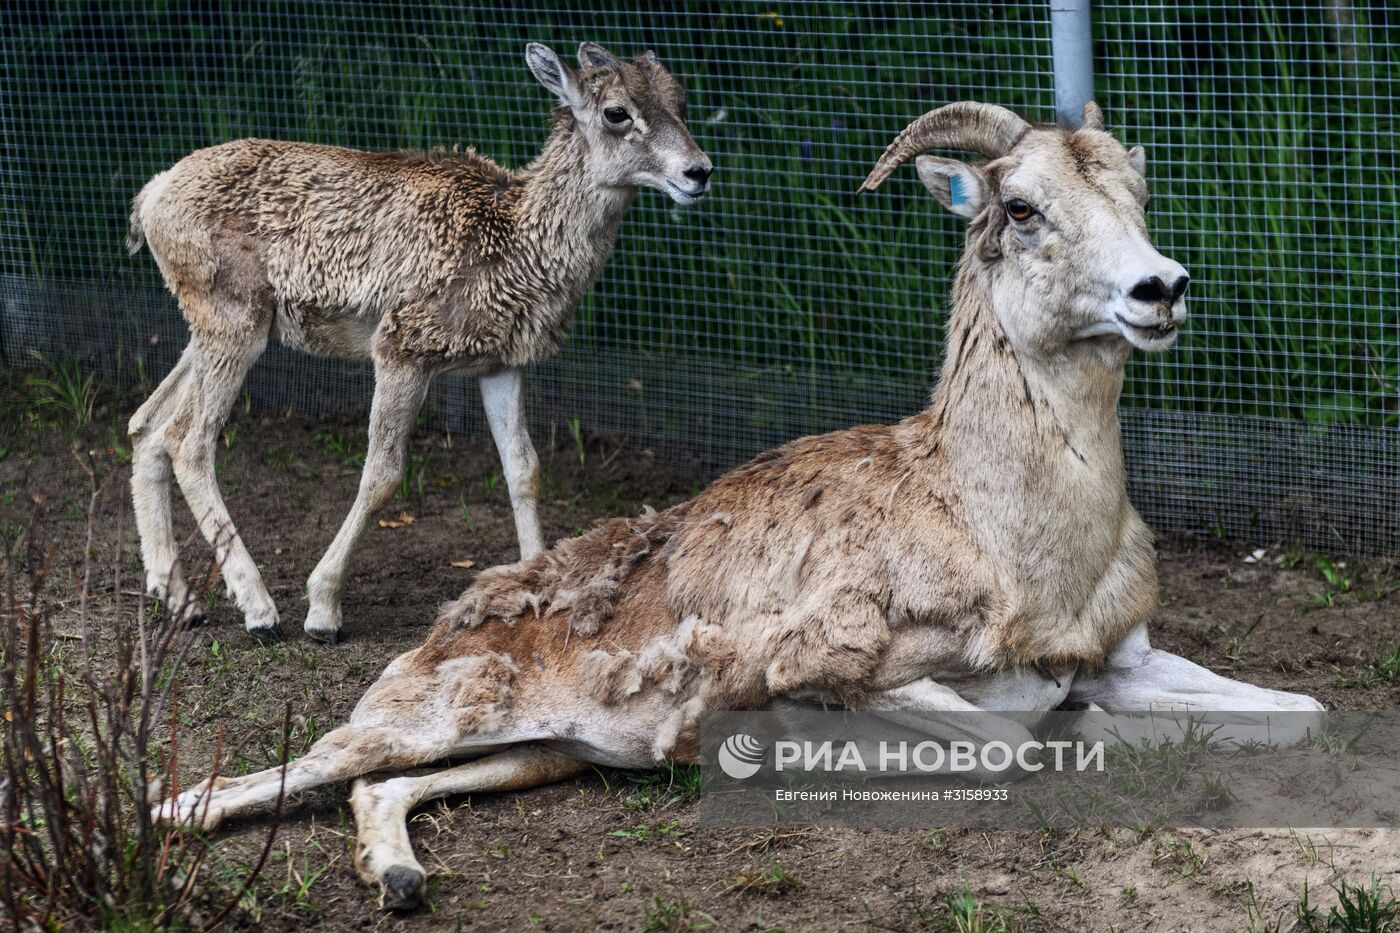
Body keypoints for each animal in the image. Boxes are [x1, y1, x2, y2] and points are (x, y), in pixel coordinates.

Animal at [126, 41, 711, 638]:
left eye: (682, 99)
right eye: (617, 112)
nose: (699, 171)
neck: (516, 241)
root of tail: (148, 197)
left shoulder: (501, 363)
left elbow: (523, 468)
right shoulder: (402, 348)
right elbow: (383, 472)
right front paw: (324, 610)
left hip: (214, 328)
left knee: (146, 423)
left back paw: (179, 600)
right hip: (234, 322)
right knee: (188, 438)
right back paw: (260, 610)